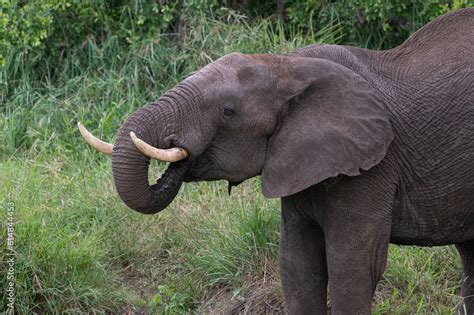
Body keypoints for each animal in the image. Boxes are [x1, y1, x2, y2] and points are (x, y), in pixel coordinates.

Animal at [78, 8, 474, 315]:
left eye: (228, 111)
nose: (175, 151)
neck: (288, 64)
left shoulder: (374, 166)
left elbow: (353, 268)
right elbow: (297, 266)